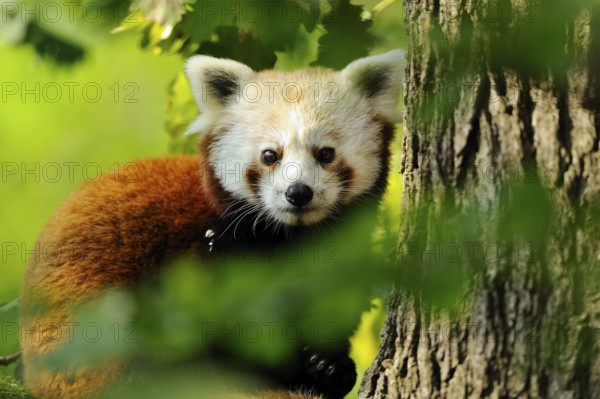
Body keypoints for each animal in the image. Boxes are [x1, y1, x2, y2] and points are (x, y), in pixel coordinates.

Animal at [18, 50, 406, 399]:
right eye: (270, 155)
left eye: (325, 153)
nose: (298, 192)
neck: (289, 236)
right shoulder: (209, 256)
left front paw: (329, 367)